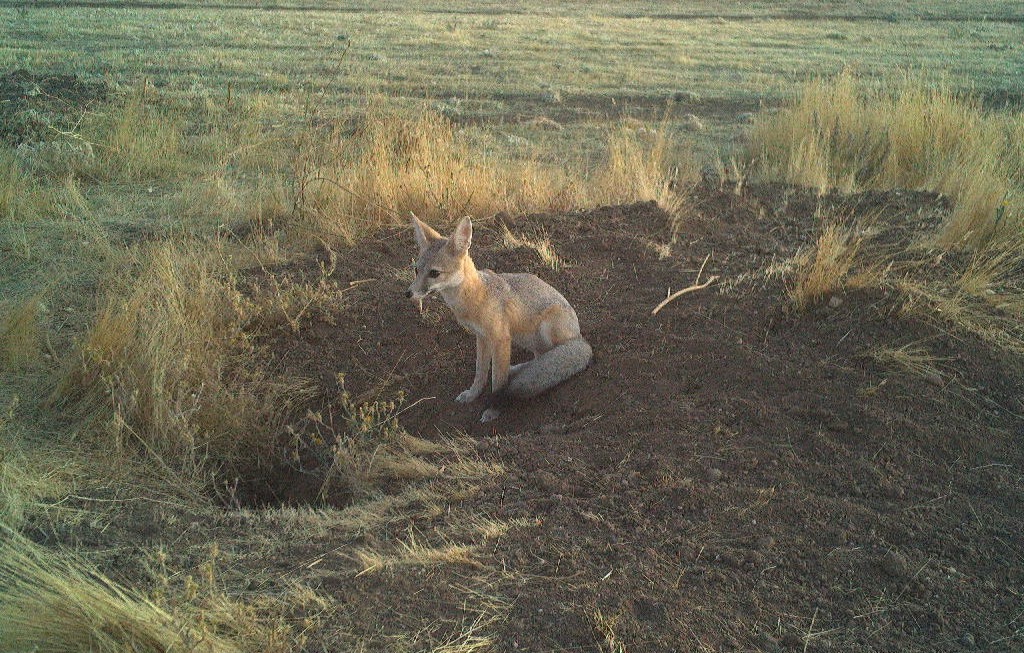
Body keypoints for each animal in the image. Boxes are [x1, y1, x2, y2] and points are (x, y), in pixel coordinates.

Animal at [405, 213, 592, 422]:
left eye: (434, 273)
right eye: (416, 270)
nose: (408, 293)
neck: (476, 296)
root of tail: (581, 338)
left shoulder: (500, 339)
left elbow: (497, 380)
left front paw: (493, 410)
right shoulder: (482, 338)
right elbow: (480, 372)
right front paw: (472, 394)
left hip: (544, 329)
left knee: (548, 357)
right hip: (524, 337)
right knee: (540, 358)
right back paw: (517, 369)